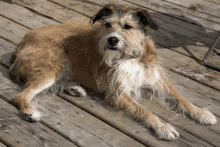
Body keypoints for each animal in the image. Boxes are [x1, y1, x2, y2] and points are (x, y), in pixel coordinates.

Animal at [9, 3, 217, 140]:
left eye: (128, 27)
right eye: (108, 25)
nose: (112, 40)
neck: (130, 55)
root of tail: (22, 41)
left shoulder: (154, 78)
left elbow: (180, 97)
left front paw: (201, 113)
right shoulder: (118, 93)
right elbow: (143, 110)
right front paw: (162, 126)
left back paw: (74, 88)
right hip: (54, 65)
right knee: (21, 95)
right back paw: (30, 112)